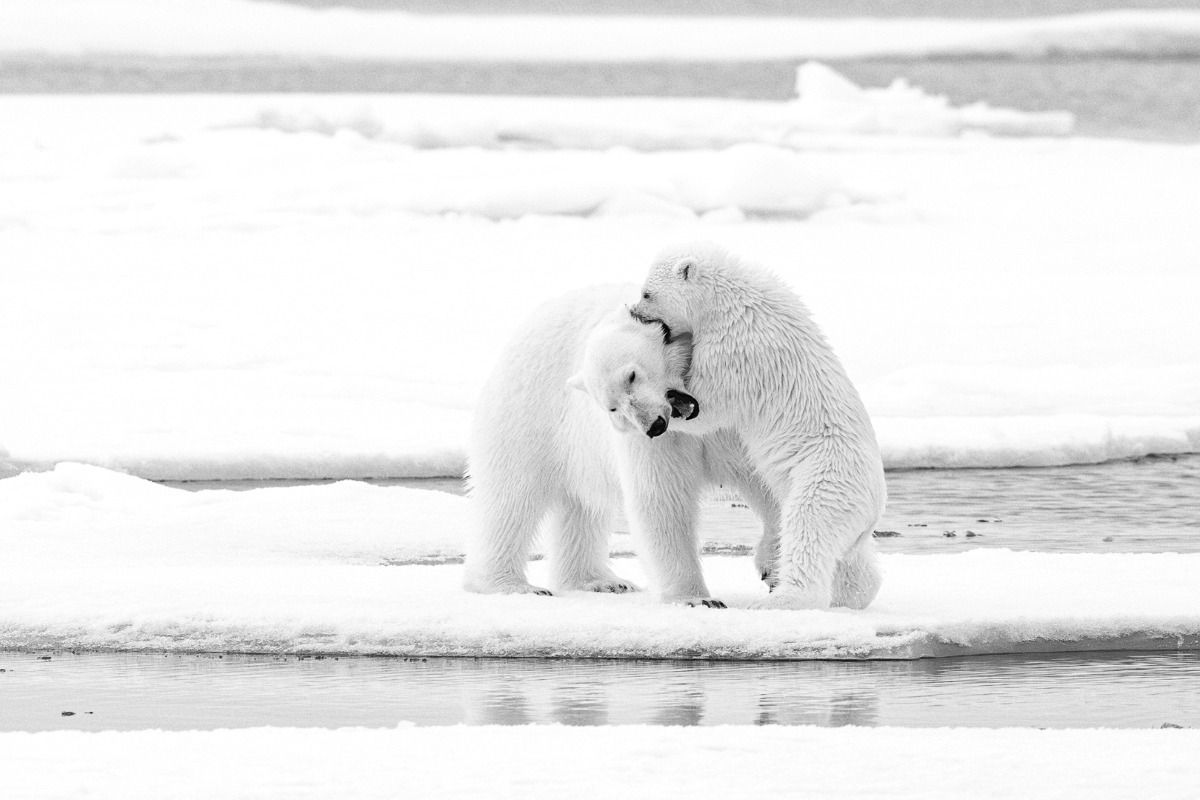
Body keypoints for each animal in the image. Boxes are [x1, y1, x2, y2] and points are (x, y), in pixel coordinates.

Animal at [463, 283, 730, 603]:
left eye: (632, 375)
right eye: (612, 407)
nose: (655, 424)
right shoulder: (657, 438)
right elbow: (663, 492)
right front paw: (697, 598)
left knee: (583, 506)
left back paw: (600, 581)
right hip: (529, 412)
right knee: (510, 495)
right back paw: (512, 585)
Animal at [631, 242, 886, 610]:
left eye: (647, 293)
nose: (634, 311)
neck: (731, 297)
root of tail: (875, 508)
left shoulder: (737, 350)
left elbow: (711, 406)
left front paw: (677, 402)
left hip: (826, 478)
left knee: (809, 527)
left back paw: (783, 598)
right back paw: (854, 592)